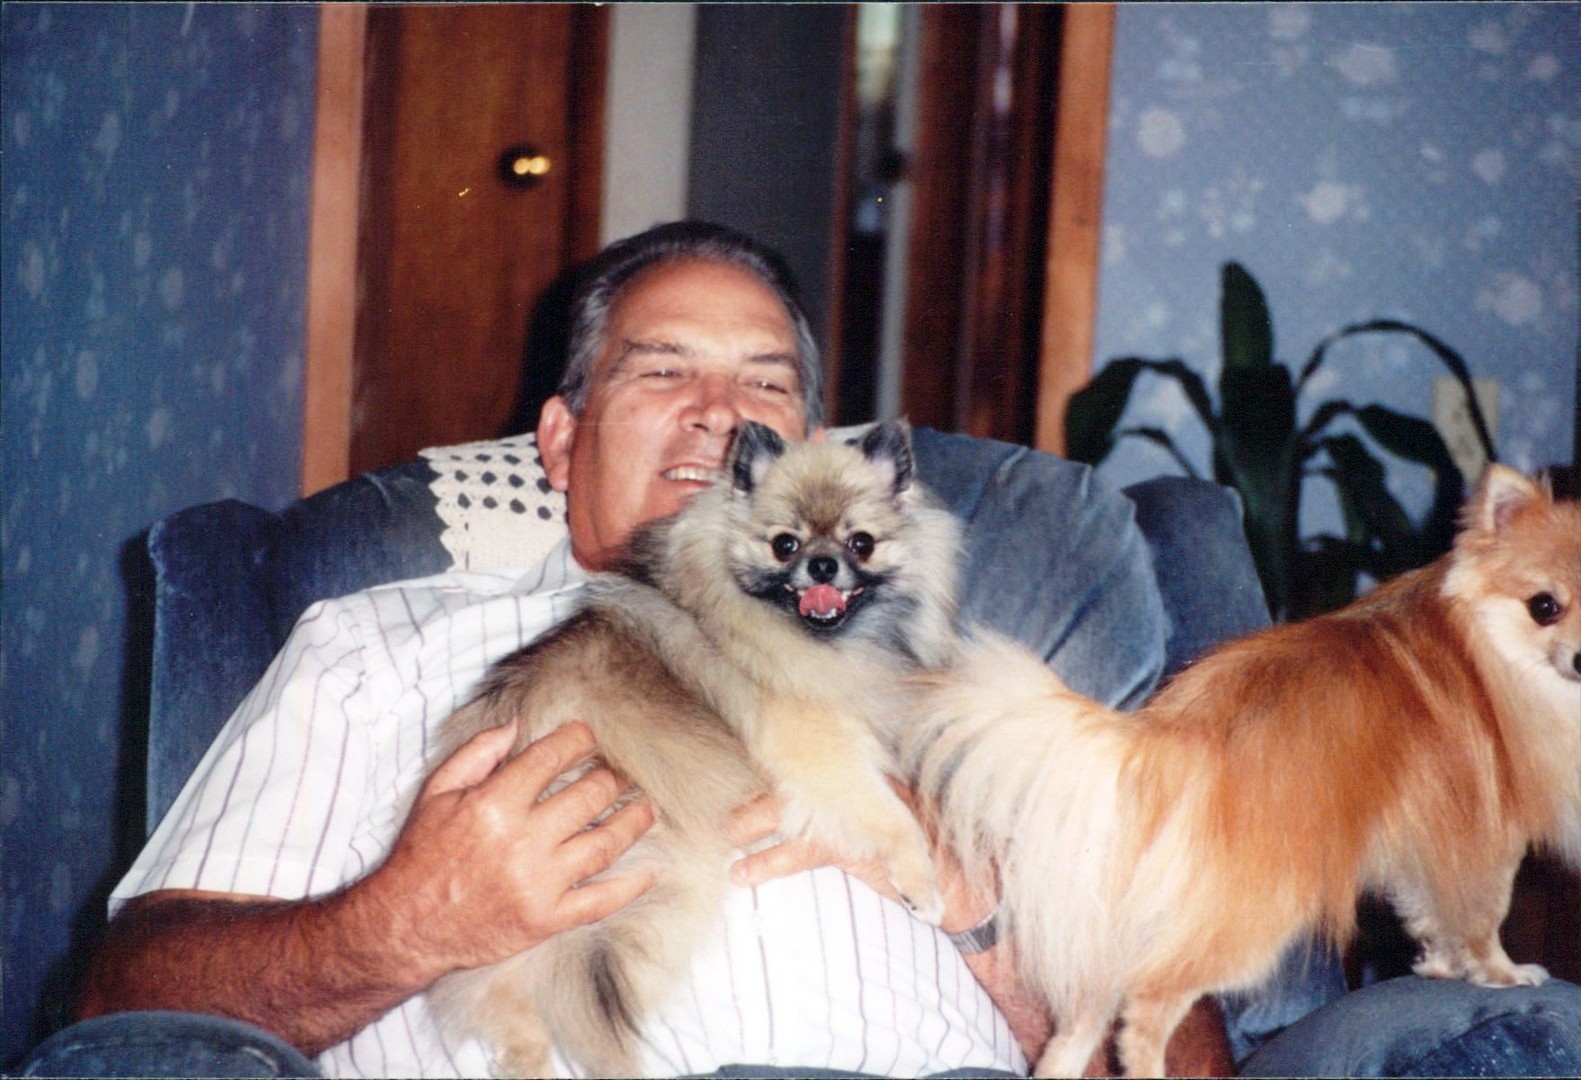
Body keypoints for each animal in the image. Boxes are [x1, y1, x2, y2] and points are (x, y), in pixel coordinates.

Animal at [427, 418, 963, 1077]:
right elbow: (895, 822)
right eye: (783, 545)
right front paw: (923, 888)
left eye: (860, 542)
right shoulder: (826, 758)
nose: (822, 565)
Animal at [909, 463, 1580, 1077]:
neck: (1486, 643)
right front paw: (1502, 974)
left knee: (1080, 1021)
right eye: (1544, 607)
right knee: (1146, 1007)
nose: (1578, 657)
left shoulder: (1424, 845)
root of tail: (1170, 738)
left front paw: (1438, 966)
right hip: (1252, 926)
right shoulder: (1486, 838)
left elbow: (1429, 912)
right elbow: (1483, 919)